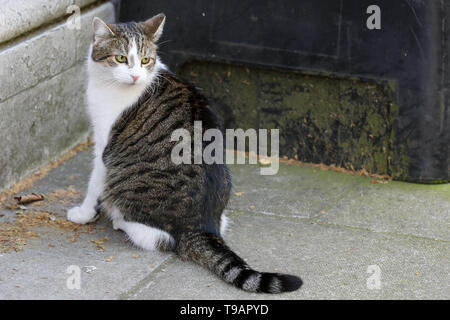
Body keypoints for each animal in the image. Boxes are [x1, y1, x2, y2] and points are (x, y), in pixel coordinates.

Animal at [67, 12, 302, 294]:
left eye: (145, 60)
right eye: (121, 58)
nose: (135, 76)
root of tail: (201, 227)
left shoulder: (105, 145)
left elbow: (94, 184)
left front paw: (83, 213)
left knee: (160, 239)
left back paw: (119, 220)